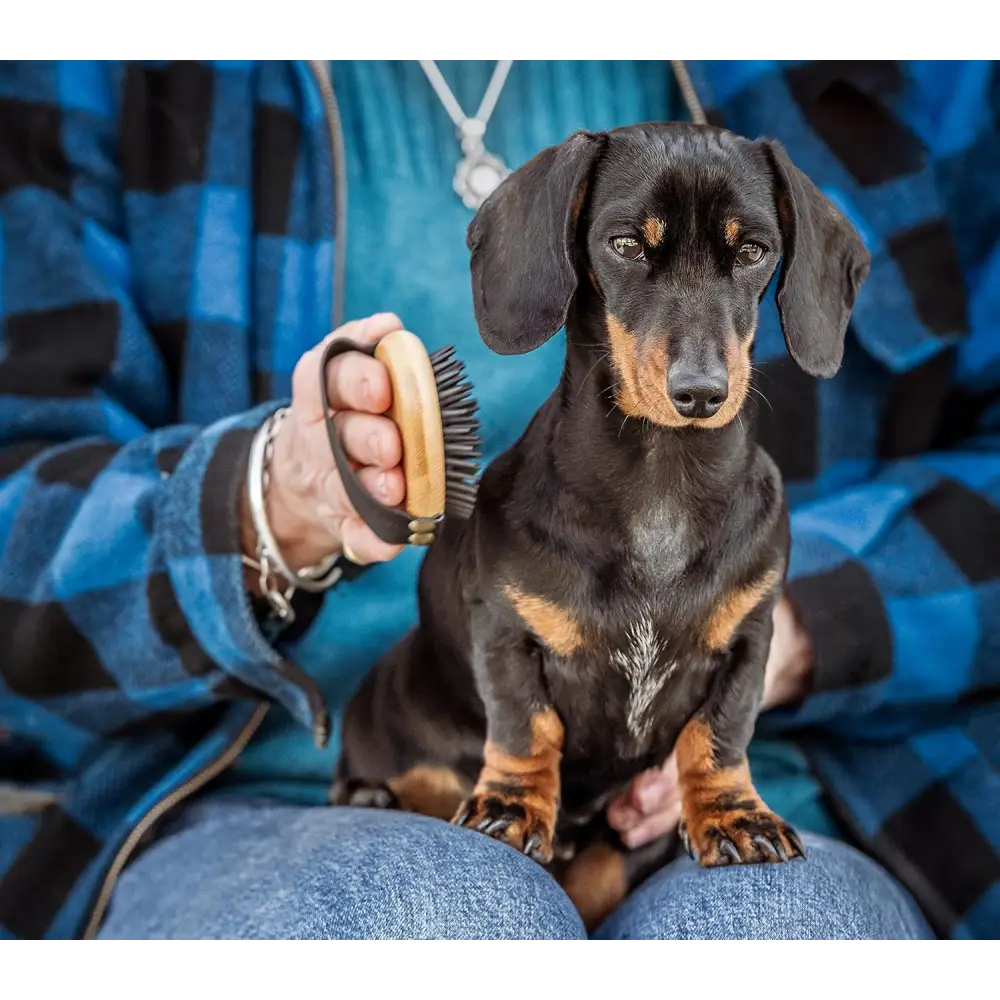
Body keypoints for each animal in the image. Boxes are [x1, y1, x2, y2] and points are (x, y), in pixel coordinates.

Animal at [332, 125, 872, 928]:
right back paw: (370, 795)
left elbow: (720, 734)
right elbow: (525, 724)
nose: (700, 392)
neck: (661, 484)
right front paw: (512, 805)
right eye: (624, 245)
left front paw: (733, 816)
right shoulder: (505, 627)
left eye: (753, 251)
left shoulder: (752, 635)